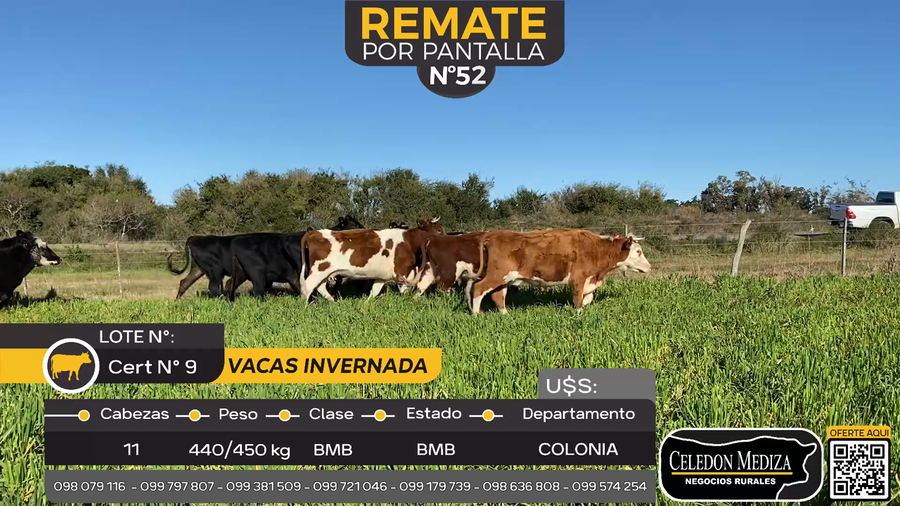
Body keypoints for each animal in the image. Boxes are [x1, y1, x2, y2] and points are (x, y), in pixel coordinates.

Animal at [167, 214, 363, 299]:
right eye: (354, 224)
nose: (364, 228)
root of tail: (196, 237)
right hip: (215, 270)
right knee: (215, 287)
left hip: (201, 269)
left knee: (185, 282)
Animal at [300, 217, 445, 302]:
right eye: (438, 229)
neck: (408, 241)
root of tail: (313, 232)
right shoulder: (403, 271)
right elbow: (404, 290)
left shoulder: (382, 276)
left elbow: (374, 291)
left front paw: (367, 303)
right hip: (319, 269)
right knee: (308, 286)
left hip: (325, 272)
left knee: (320, 287)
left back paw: (333, 301)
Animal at [469, 230, 651, 314]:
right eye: (638, 251)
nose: (649, 267)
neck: (596, 249)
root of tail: (495, 234)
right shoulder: (578, 279)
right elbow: (578, 299)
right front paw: (578, 314)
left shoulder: (590, 280)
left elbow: (588, 299)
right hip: (497, 275)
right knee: (478, 288)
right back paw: (476, 314)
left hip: (504, 279)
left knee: (498, 296)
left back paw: (505, 314)